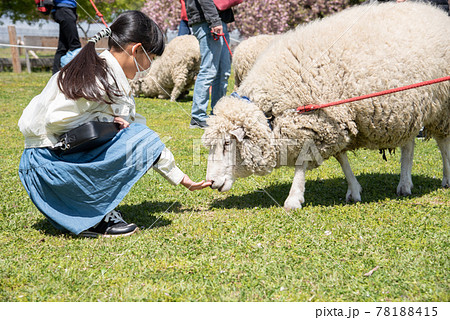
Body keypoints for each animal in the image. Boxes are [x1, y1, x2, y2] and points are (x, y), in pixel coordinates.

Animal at [204, 1, 450, 210]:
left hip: (442, 107)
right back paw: (405, 184)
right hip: (409, 108)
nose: (211, 182)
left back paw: (446, 178)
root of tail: (437, 13)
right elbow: (342, 159)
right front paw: (354, 190)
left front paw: (293, 199)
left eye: (227, 143)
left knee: (442, 143)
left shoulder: (316, 122)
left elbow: (302, 163)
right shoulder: (334, 123)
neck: (273, 109)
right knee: (408, 146)